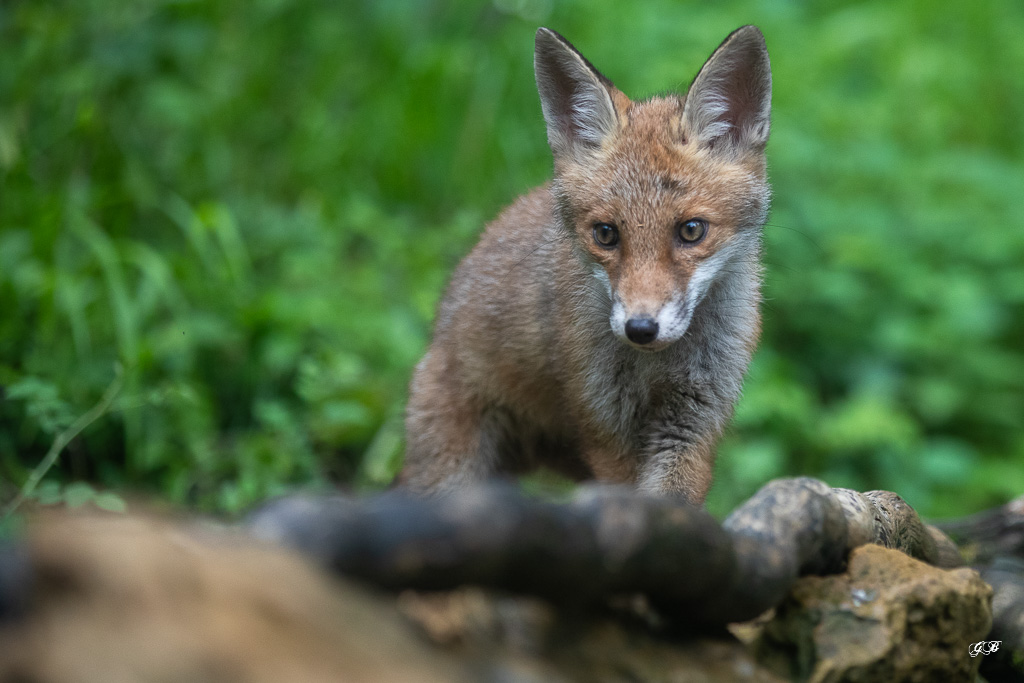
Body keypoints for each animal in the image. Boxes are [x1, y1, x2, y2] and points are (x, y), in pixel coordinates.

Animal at [401, 26, 772, 504]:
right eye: (606, 234)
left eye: (691, 231)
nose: (640, 328)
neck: (655, 367)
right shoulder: (604, 427)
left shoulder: (692, 422)